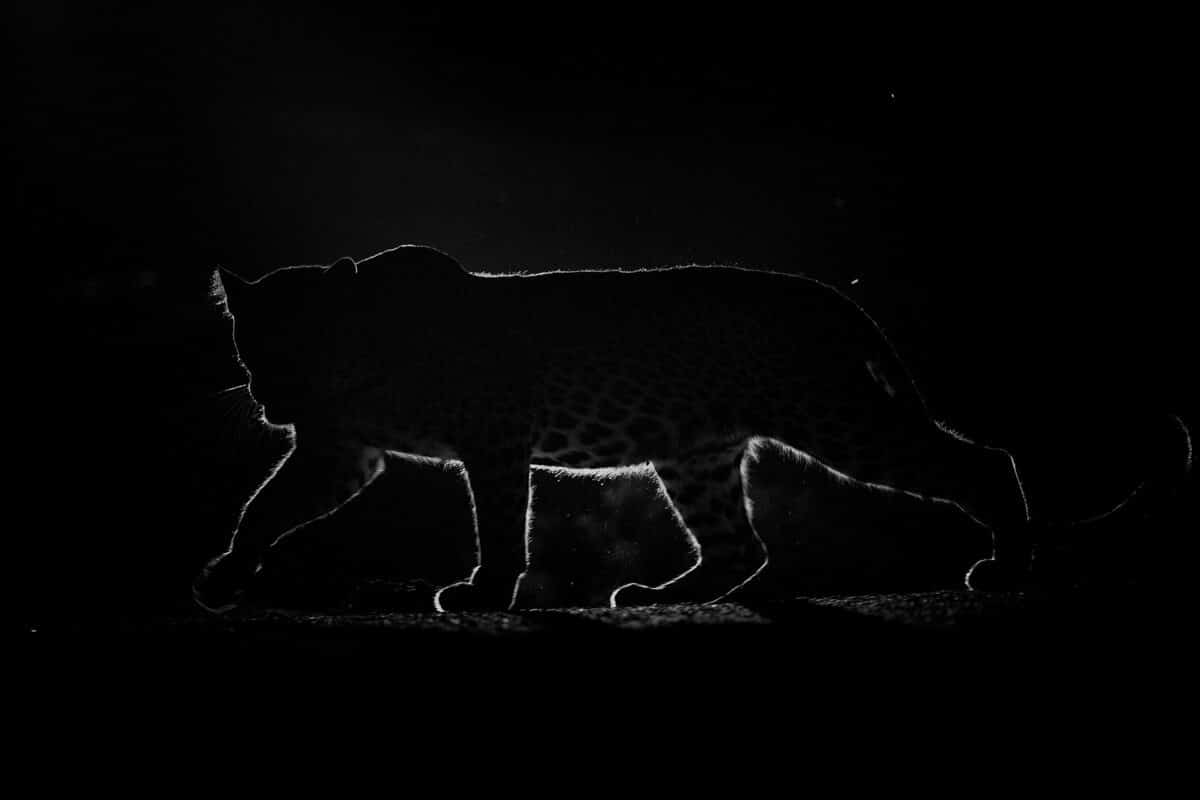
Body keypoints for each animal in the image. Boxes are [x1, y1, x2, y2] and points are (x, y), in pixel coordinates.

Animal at [193, 243, 1044, 614]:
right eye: (249, 349)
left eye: (301, 348)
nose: (269, 400)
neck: (371, 357)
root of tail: (825, 295)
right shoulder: (342, 451)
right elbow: (267, 506)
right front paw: (228, 574)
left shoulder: (494, 439)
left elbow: (500, 522)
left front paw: (487, 590)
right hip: (696, 455)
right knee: (740, 546)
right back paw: (663, 592)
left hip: (833, 416)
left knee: (983, 462)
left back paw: (1007, 566)